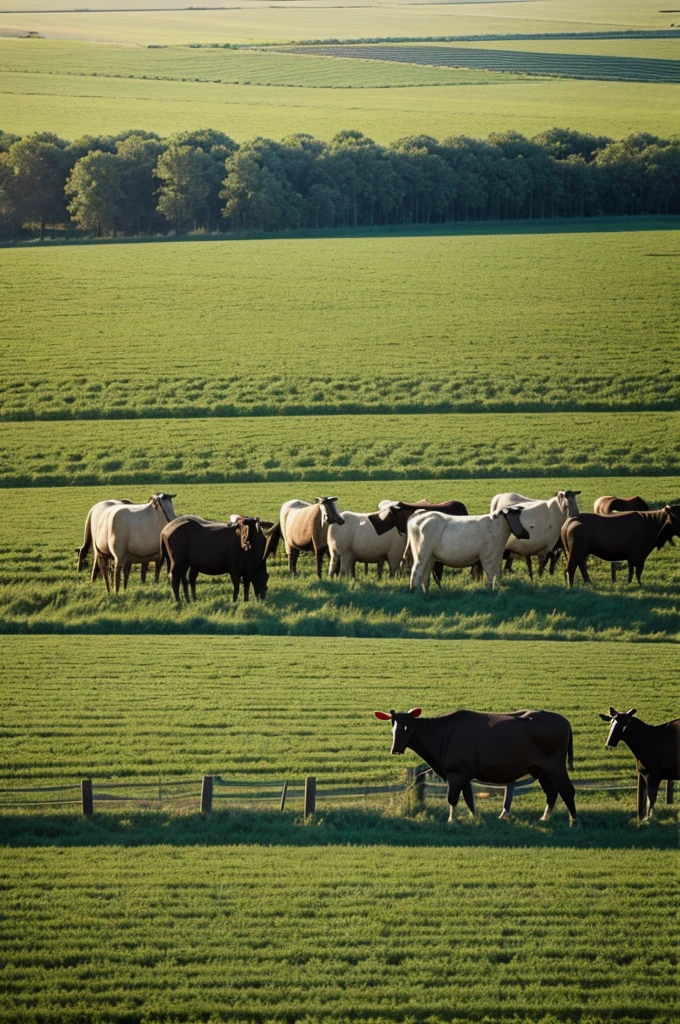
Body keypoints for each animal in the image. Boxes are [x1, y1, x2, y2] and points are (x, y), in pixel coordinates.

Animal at [374, 708, 577, 827]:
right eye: (393, 726)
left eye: (408, 727)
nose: (395, 749)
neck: (439, 738)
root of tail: (566, 722)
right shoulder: (464, 773)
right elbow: (469, 799)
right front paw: (474, 818)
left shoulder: (455, 772)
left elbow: (453, 798)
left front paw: (451, 820)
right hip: (539, 768)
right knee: (552, 792)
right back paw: (545, 818)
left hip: (555, 765)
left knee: (567, 789)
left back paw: (573, 820)